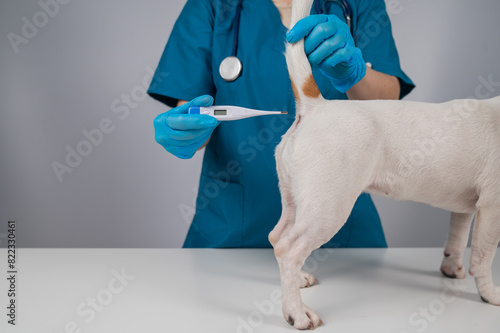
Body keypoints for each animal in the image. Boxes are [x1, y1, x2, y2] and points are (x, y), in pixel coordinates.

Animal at [270, 0, 500, 326]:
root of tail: (316, 106)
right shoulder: (492, 208)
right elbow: (483, 257)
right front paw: (490, 294)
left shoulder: (465, 207)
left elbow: (456, 239)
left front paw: (452, 269)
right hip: (327, 210)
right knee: (289, 250)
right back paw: (297, 313)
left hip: (296, 201)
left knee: (277, 238)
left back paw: (299, 281)